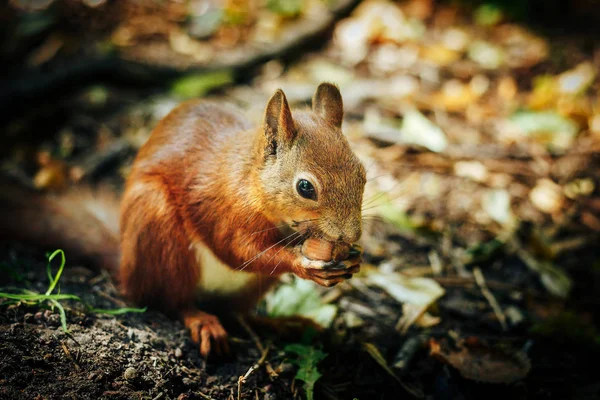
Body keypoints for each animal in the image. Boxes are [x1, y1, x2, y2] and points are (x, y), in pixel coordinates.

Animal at [0, 83, 366, 356]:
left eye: (362, 173)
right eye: (305, 187)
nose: (350, 235)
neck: (250, 180)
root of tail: (126, 267)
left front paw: (352, 259)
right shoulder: (223, 210)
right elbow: (240, 251)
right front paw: (305, 262)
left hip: (250, 286)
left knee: (236, 313)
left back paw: (284, 324)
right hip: (160, 233)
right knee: (170, 301)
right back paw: (201, 321)